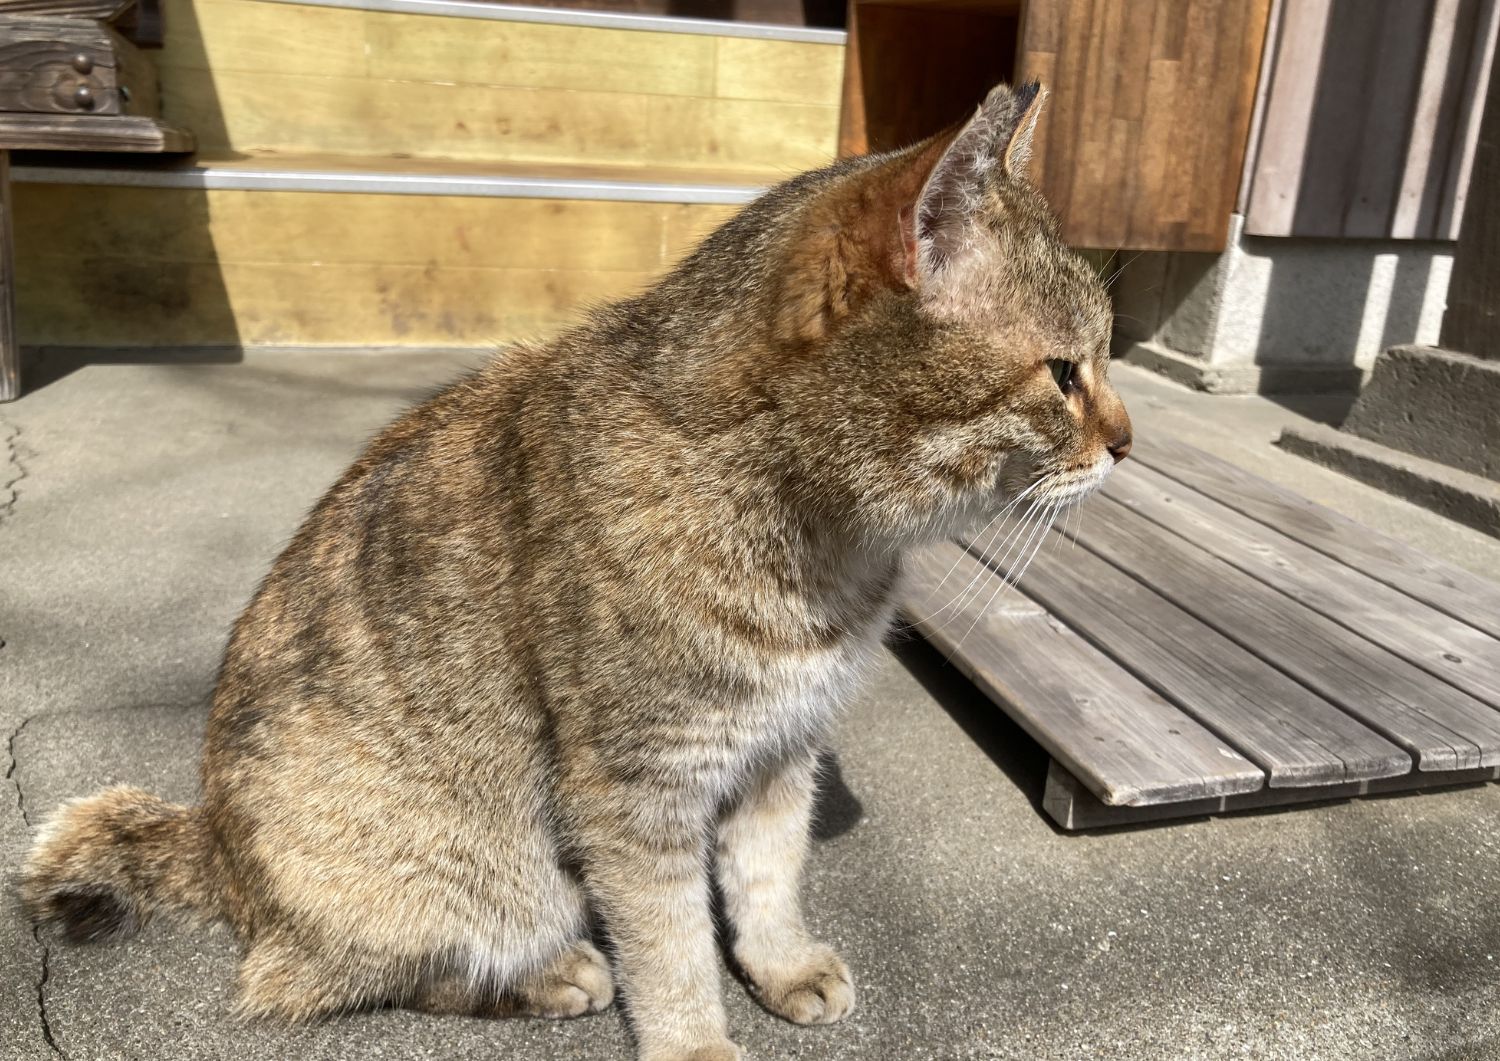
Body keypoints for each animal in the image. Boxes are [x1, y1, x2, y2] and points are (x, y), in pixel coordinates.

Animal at [21, 81, 1130, 1061]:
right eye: (1065, 373)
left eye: (1104, 362)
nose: (1129, 441)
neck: (825, 544)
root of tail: (214, 843)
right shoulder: (635, 785)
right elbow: (671, 943)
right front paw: (695, 1042)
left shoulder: (780, 747)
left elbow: (768, 877)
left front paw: (779, 963)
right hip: (497, 878)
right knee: (328, 975)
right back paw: (550, 971)